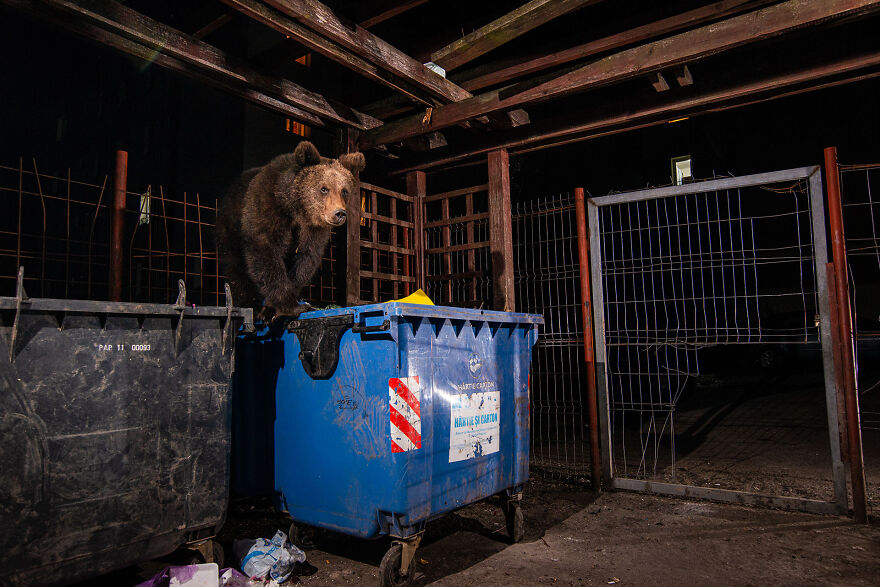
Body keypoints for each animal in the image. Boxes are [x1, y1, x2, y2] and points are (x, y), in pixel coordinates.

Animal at [216, 141, 365, 320]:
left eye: (344, 191)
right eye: (324, 188)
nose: (339, 213)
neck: (295, 207)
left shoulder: (312, 229)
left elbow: (305, 259)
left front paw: (280, 305)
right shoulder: (268, 208)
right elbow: (266, 251)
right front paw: (289, 306)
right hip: (231, 223)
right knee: (235, 266)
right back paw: (250, 305)